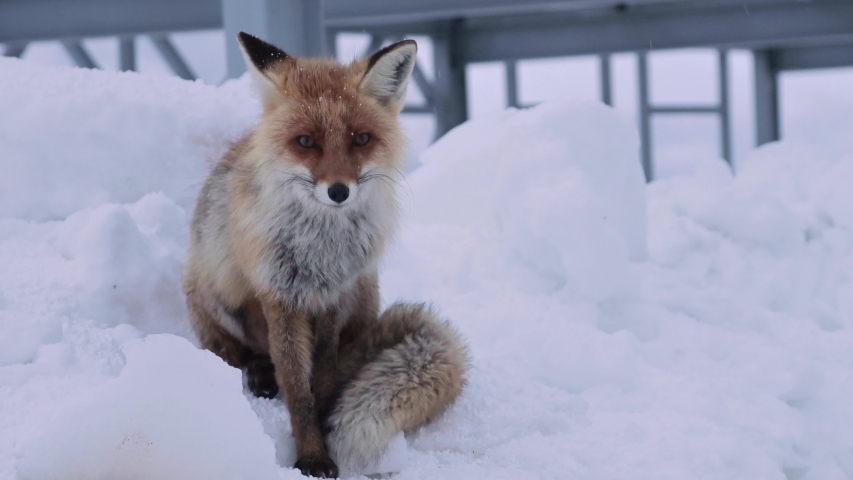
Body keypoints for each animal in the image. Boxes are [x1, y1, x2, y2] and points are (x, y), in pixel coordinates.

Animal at [182, 32, 469, 478]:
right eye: (305, 142)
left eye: (361, 139)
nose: (338, 191)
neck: (321, 250)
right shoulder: (280, 298)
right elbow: (298, 391)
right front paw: (311, 456)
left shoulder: (336, 295)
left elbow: (324, 376)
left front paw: (326, 425)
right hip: (214, 294)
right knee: (237, 353)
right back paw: (259, 372)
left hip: (365, 294)